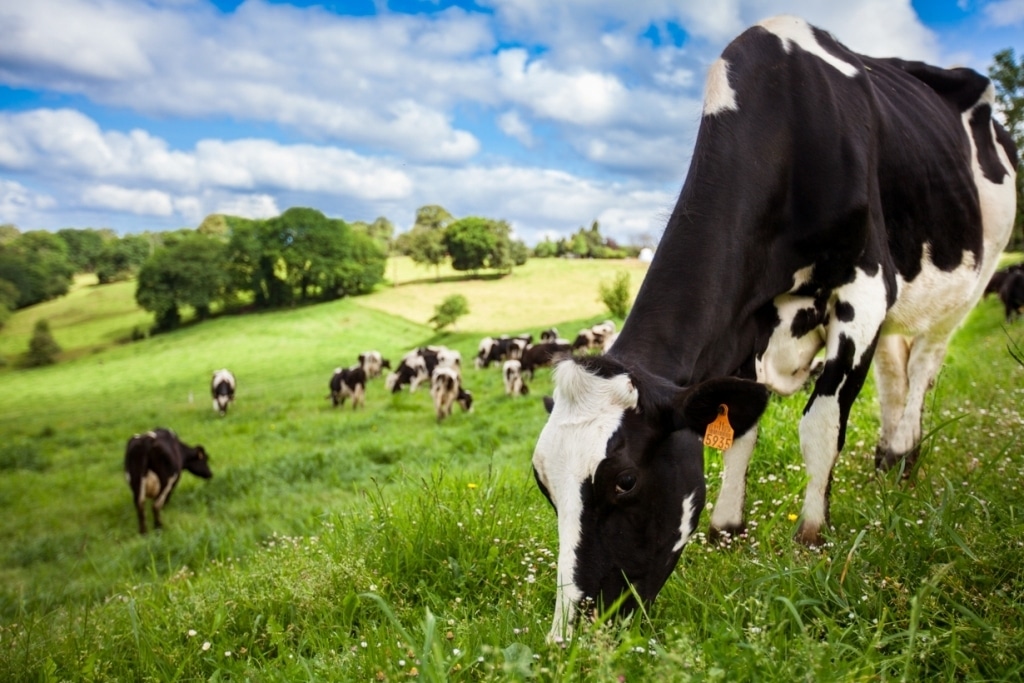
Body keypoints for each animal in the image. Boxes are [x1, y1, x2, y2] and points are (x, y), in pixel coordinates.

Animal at [532, 14, 1019, 643]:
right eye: (544, 485)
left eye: (625, 481)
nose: (569, 636)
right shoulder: (745, 321)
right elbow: (741, 422)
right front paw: (728, 528)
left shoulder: (866, 288)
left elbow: (820, 426)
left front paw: (811, 536)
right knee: (894, 369)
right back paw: (886, 461)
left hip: (969, 283)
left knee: (925, 363)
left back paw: (905, 456)